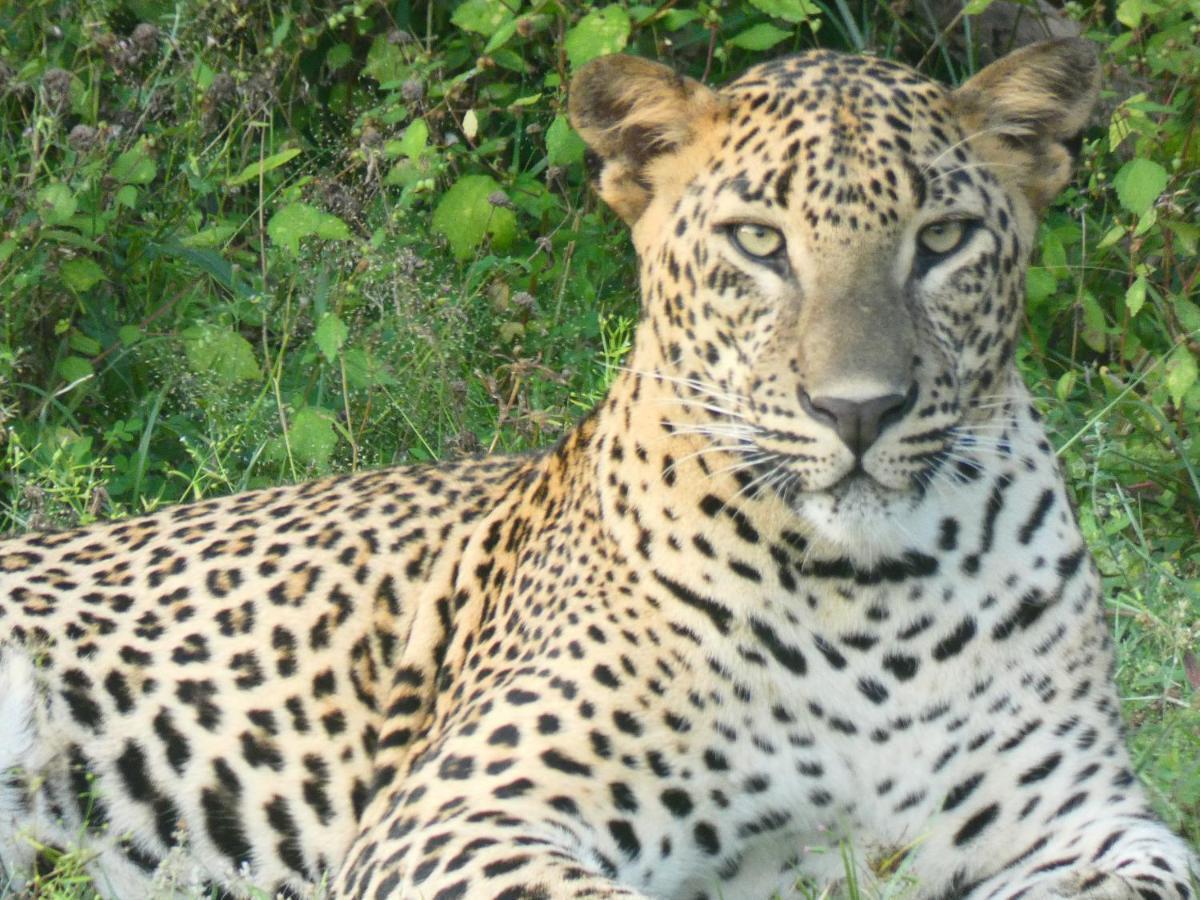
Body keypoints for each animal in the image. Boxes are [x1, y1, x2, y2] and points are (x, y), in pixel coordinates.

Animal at [2, 37, 1200, 900]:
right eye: (758, 243)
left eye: (944, 240)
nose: (857, 410)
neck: (872, 605)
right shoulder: (463, 811)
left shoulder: (1092, 818)